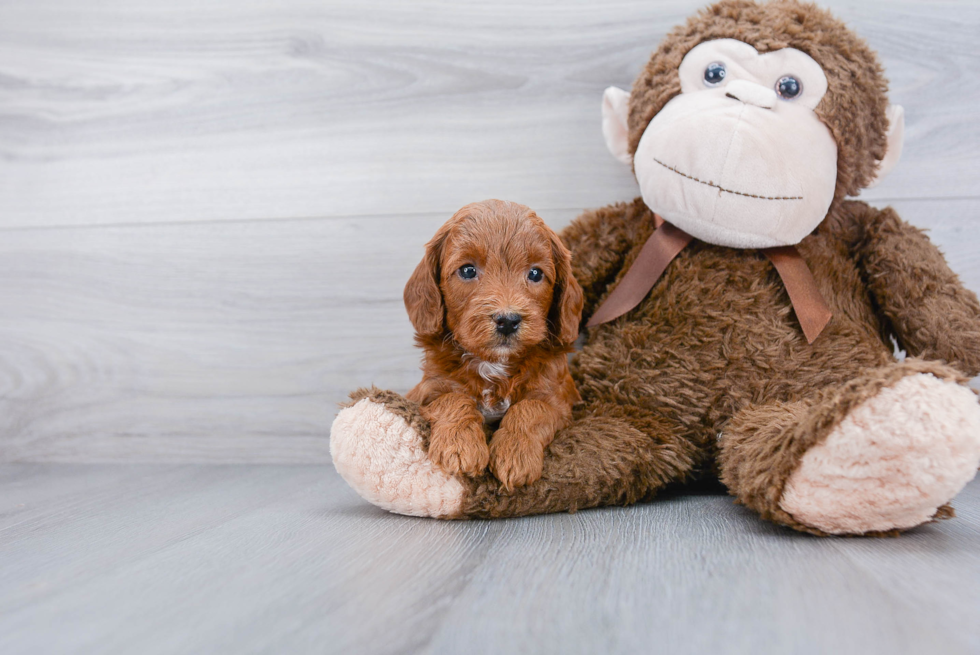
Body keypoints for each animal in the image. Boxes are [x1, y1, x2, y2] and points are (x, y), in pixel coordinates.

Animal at [404, 200, 580, 492]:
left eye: (535, 273)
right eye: (467, 270)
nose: (507, 320)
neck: (494, 364)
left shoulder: (558, 398)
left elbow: (532, 409)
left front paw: (515, 454)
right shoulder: (427, 389)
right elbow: (452, 398)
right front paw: (459, 445)